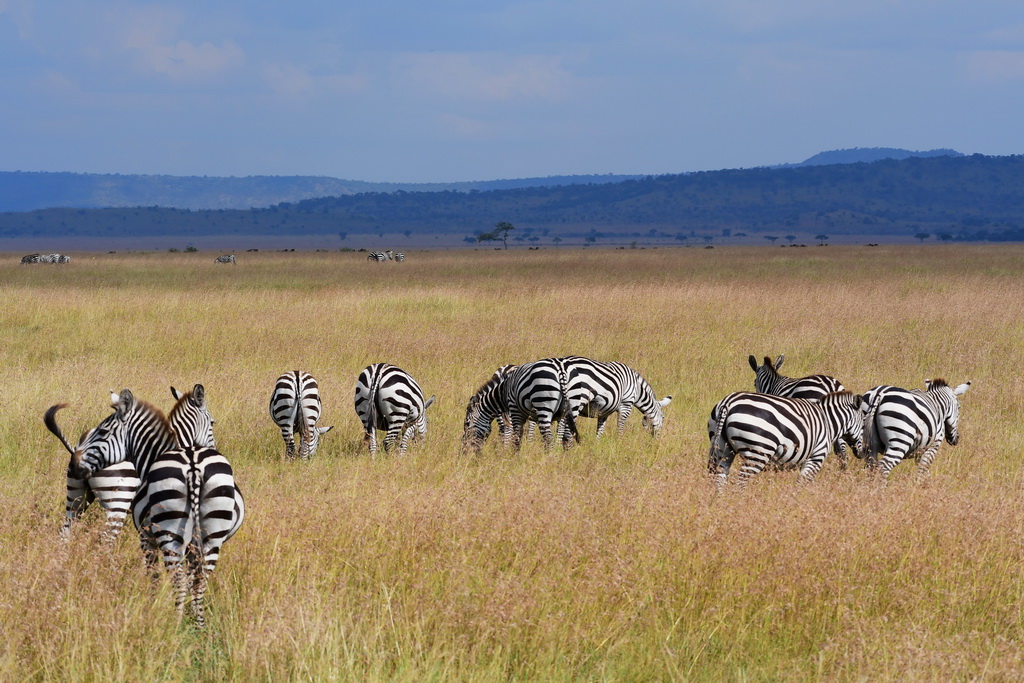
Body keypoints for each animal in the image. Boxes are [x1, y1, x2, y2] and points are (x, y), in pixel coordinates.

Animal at [708, 389, 868, 491]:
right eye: (864, 425)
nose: (863, 453)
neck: (829, 422)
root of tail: (728, 402)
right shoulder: (816, 457)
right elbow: (801, 484)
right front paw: (797, 502)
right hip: (758, 452)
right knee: (740, 482)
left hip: (723, 450)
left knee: (719, 480)